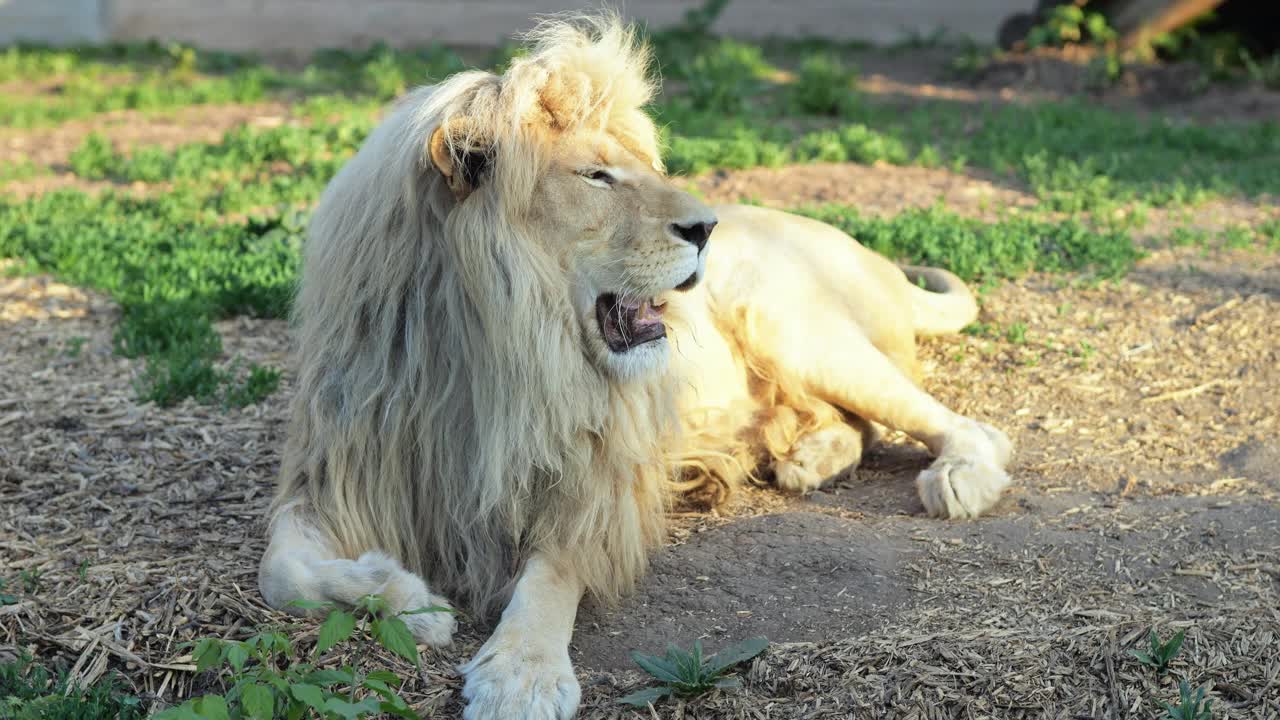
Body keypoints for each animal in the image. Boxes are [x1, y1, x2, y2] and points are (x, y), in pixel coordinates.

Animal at [257, 12, 1008, 717]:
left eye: (646, 170)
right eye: (597, 176)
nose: (707, 228)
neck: (484, 356)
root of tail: (860, 246)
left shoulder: (593, 478)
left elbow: (551, 575)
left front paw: (521, 674)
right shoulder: (334, 474)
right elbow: (281, 569)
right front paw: (410, 599)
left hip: (796, 327)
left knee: (961, 425)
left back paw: (958, 478)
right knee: (851, 423)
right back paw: (807, 459)